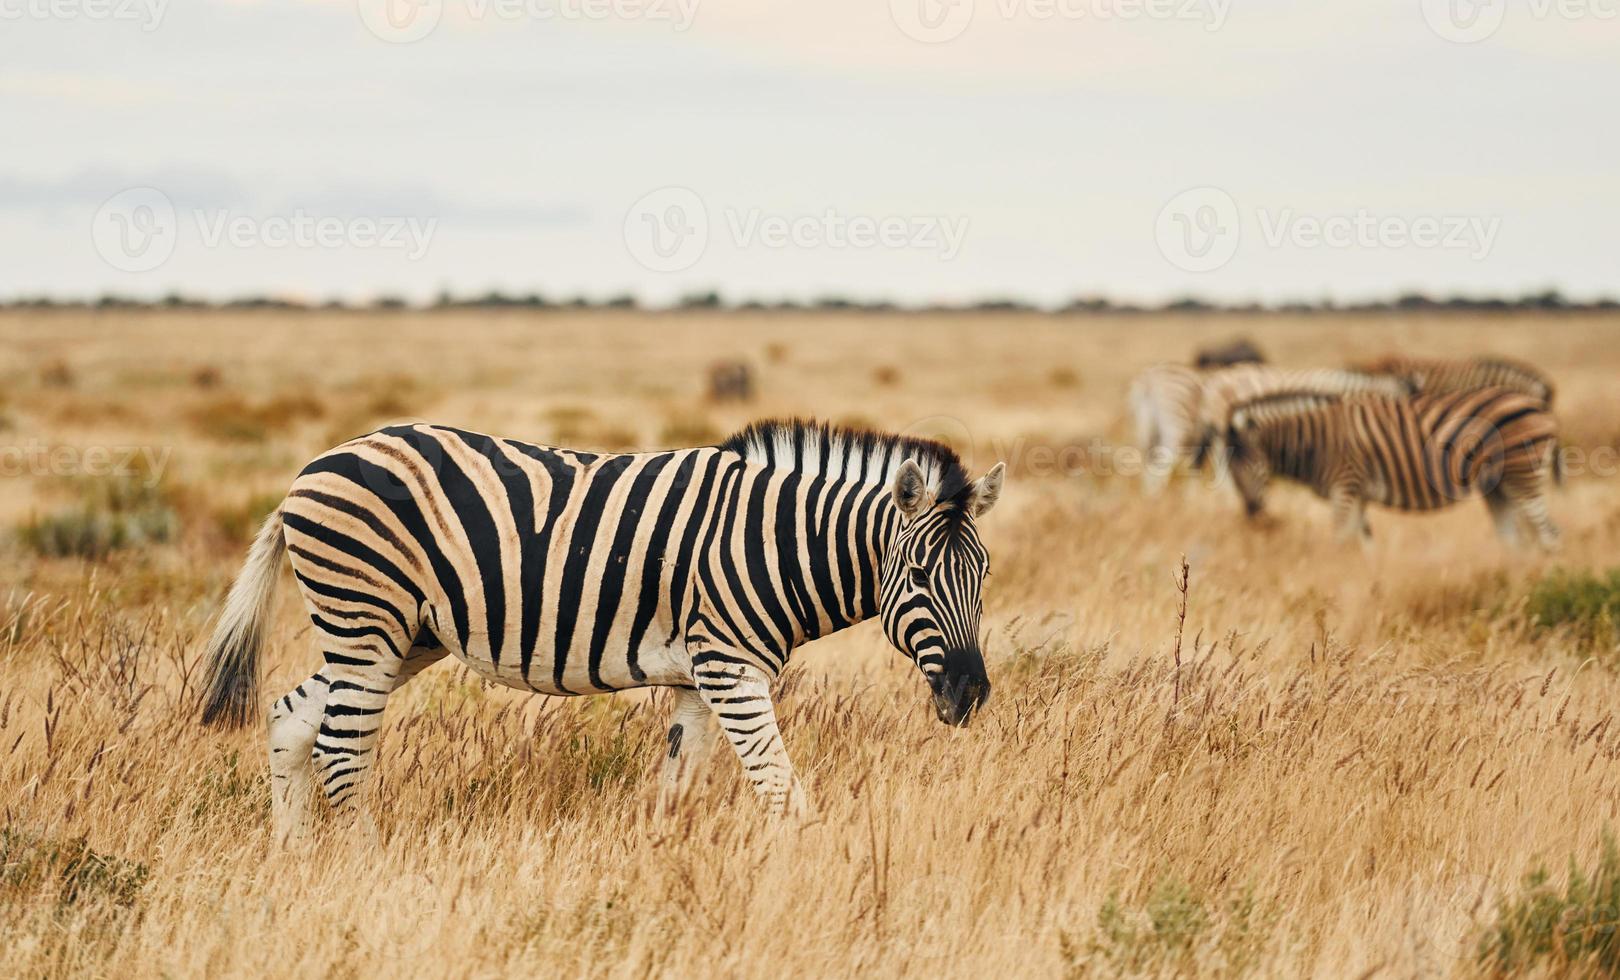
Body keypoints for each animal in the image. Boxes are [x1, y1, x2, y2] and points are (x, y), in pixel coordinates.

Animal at [196, 417, 1004, 835]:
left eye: (985, 575)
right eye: (920, 577)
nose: (969, 694)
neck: (772, 542)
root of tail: (314, 466)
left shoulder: (697, 677)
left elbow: (678, 785)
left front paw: (665, 870)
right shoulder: (730, 666)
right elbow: (781, 788)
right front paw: (807, 872)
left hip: (399, 635)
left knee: (291, 718)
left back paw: (299, 860)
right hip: (365, 619)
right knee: (341, 748)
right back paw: (365, 862)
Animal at [1218, 383, 1555, 550]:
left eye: (1252, 464)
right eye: (1229, 471)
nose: (1252, 512)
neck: (1317, 437)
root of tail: (1537, 404)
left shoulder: (1345, 485)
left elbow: (1339, 542)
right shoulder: (1357, 494)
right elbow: (1364, 544)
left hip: (1521, 474)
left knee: (1548, 535)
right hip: (1497, 487)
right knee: (1514, 542)